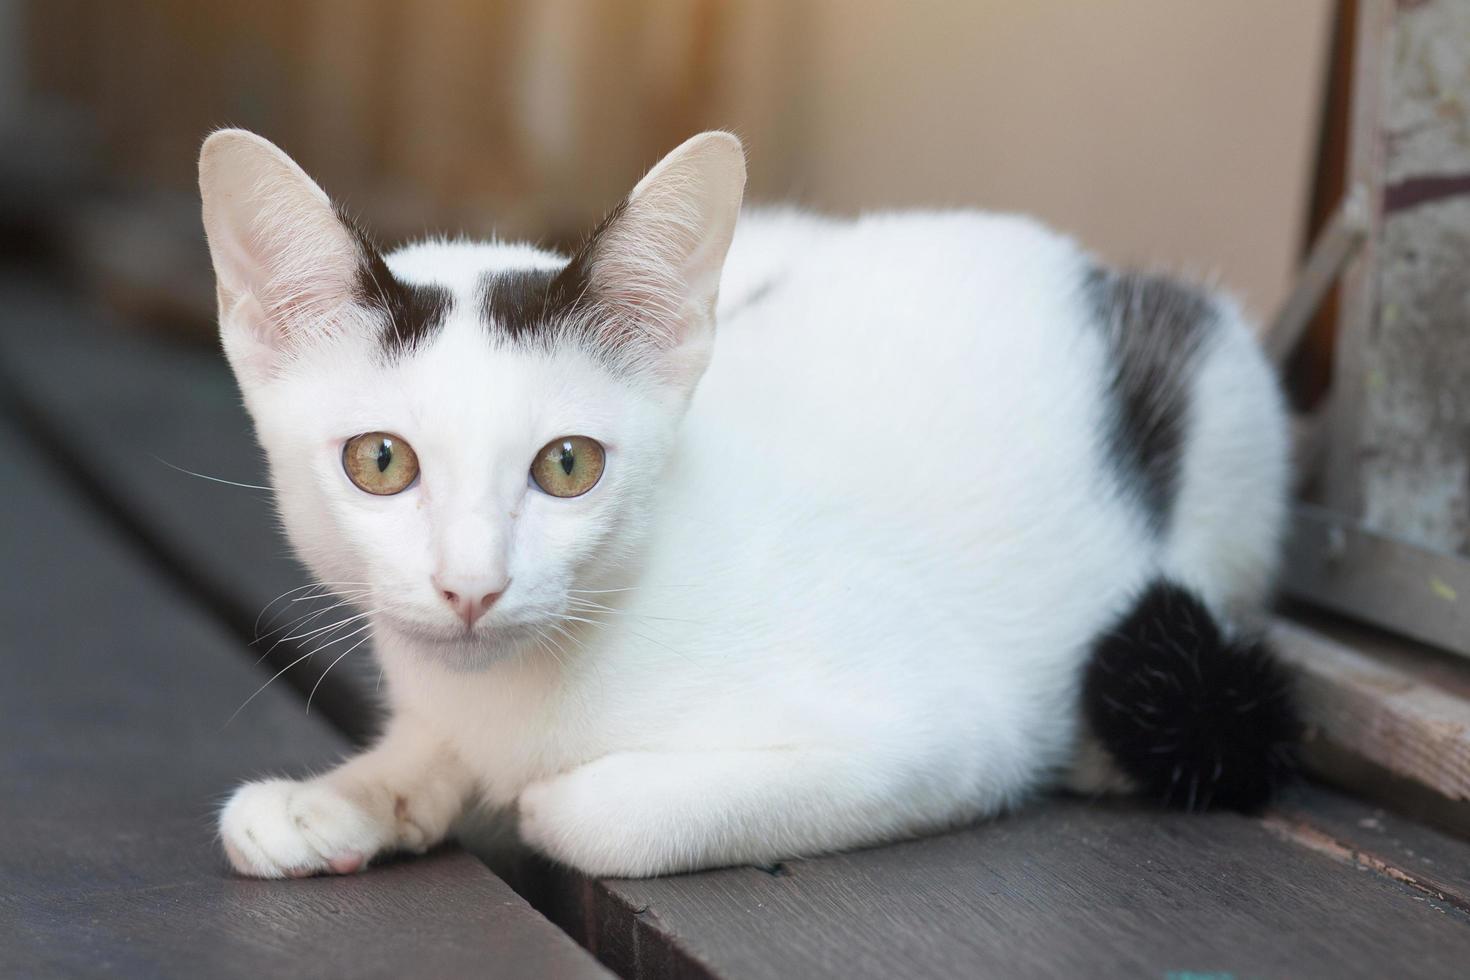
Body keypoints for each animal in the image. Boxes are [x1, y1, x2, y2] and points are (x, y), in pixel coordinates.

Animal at [201, 128, 1293, 881]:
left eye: (567, 465)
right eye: (381, 460)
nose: (471, 587)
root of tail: (1086, 265)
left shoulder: (949, 740)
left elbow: (591, 816)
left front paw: (527, 799)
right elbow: (431, 745)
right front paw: (343, 796)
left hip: (1230, 408)